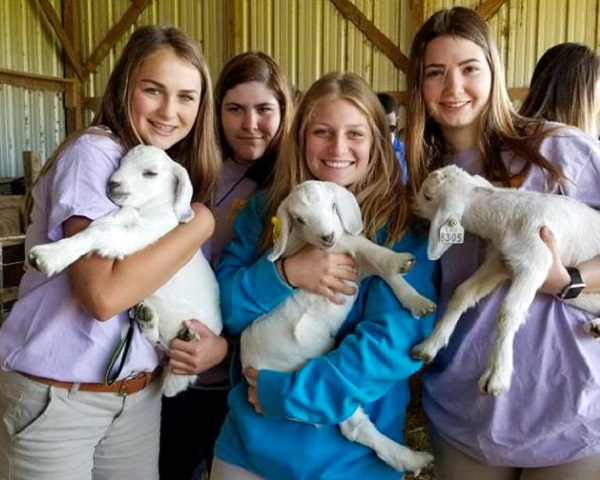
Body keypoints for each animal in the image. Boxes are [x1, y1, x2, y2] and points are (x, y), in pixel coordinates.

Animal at [28, 144, 223, 396]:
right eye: (120, 162)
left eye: (150, 173)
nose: (113, 184)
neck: (151, 207)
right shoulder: (129, 217)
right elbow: (109, 221)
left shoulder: (142, 234)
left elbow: (100, 234)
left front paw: (49, 256)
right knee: (158, 344)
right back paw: (147, 318)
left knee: (175, 375)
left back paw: (186, 338)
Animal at [240, 181, 436, 476]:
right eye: (299, 219)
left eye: (333, 206)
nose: (327, 236)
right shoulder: (337, 253)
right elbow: (361, 244)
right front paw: (399, 261)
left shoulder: (355, 268)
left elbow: (383, 271)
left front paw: (417, 302)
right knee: (353, 427)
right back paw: (413, 459)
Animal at [410, 165, 600, 398]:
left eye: (428, 196)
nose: (413, 203)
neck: (510, 216)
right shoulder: (498, 262)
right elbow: (463, 293)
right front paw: (429, 346)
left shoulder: (534, 264)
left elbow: (509, 312)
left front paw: (497, 375)